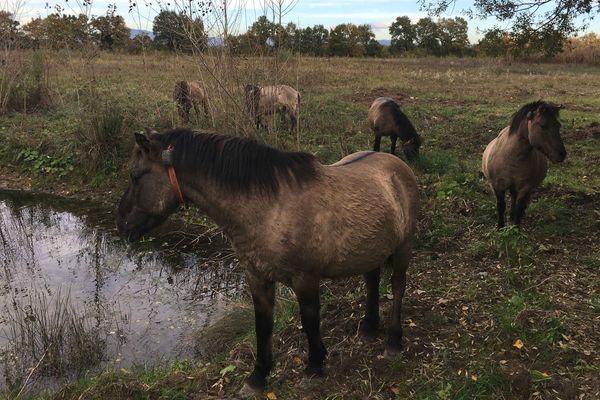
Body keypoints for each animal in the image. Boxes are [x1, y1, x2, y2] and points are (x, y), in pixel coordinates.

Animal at [116, 128, 418, 396]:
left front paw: (314, 367)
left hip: (403, 248)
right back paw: (369, 326)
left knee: (398, 285)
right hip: (371, 249)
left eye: (135, 175)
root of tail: (396, 164)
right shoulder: (257, 277)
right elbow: (263, 326)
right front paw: (257, 378)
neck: (270, 208)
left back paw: (393, 340)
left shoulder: (305, 279)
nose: (121, 224)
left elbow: (310, 321)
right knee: (372, 280)